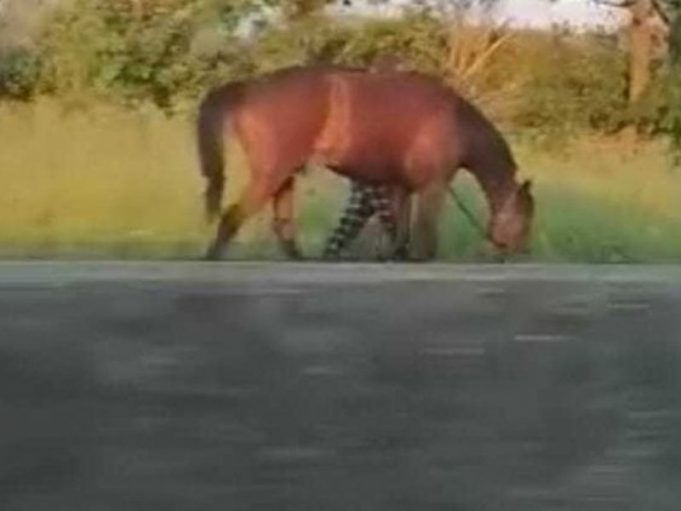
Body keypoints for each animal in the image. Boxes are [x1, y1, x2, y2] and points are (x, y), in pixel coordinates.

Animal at [196, 65, 534, 261]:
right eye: (525, 216)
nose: (520, 252)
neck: (456, 123)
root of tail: (249, 87)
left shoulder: (400, 188)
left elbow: (399, 234)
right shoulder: (433, 188)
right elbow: (424, 236)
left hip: (284, 176)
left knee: (282, 224)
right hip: (271, 173)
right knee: (232, 217)